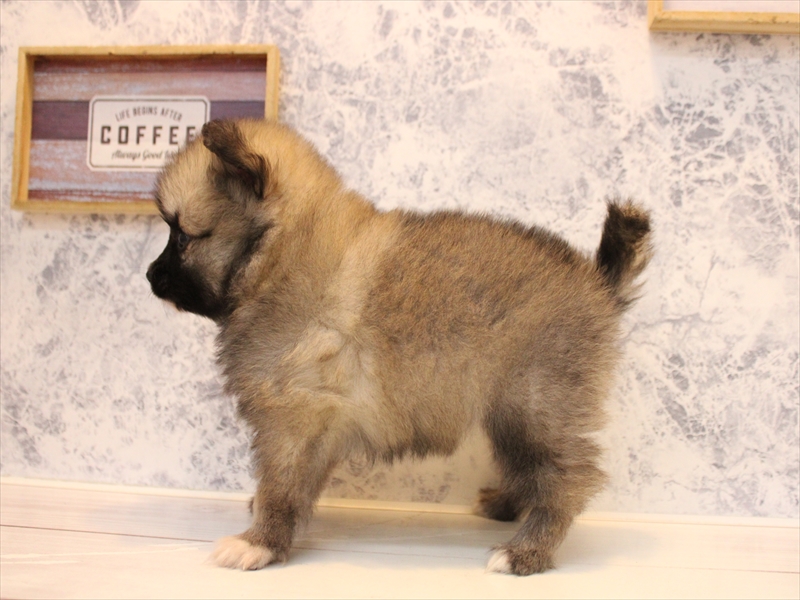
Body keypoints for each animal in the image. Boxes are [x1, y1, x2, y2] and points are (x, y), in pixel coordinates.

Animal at [146, 118, 652, 575]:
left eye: (183, 235)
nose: (150, 276)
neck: (279, 255)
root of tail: (598, 282)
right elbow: (290, 484)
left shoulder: (293, 417)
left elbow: (281, 486)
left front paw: (259, 542)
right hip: (511, 410)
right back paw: (505, 507)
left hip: (535, 402)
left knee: (566, 477)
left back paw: (525, 551)